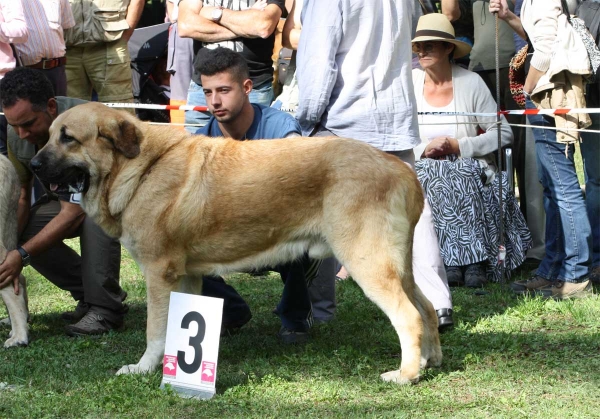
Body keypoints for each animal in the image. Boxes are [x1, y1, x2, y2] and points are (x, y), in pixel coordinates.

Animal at [31, 103, 440, 386]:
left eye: (68, 138)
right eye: (49, 135)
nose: (33, 165)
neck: (140, 167)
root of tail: (401, 169)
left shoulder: (159, 273)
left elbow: (155, 329)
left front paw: (144, 368)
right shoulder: (186, 275)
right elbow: (178, 324)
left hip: (368, 263)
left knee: (408, 316)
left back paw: (405, 375)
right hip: (397, 266)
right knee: (427, 310)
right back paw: (429, 362)